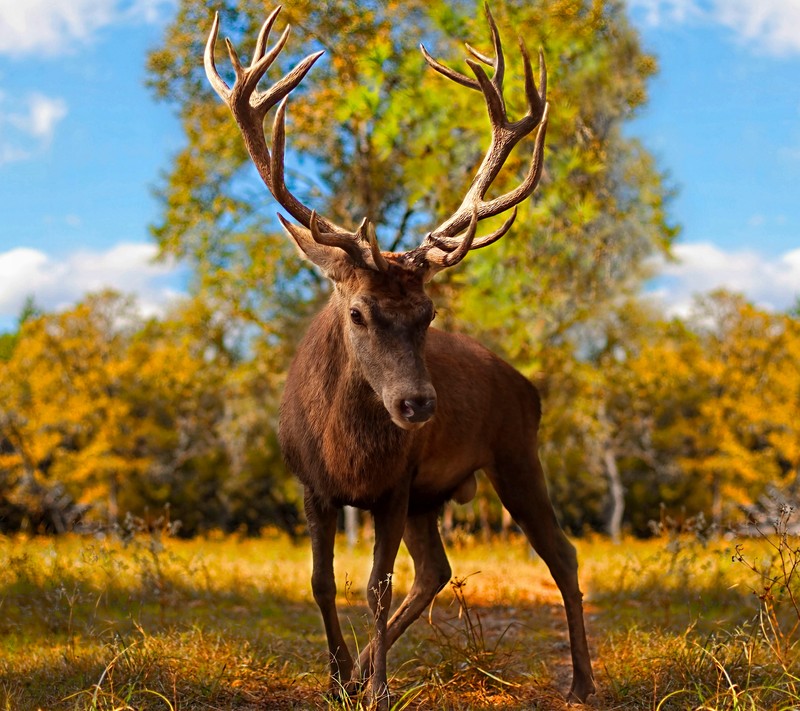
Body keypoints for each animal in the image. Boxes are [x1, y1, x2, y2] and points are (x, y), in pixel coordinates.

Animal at [205, 4, 592, 708]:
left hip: (514, 453)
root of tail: (529, 386)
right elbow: (321, 583)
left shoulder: (395, 485)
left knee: (561, 553)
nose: (418, 405)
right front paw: (339, 679)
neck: (347, 454)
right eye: (359, 312)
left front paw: (379, 689)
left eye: (428, 314)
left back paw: (580, 681)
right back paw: (361, 669)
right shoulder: (313, 486)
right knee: (437, 570)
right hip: (432, 497)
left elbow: (375, 588)